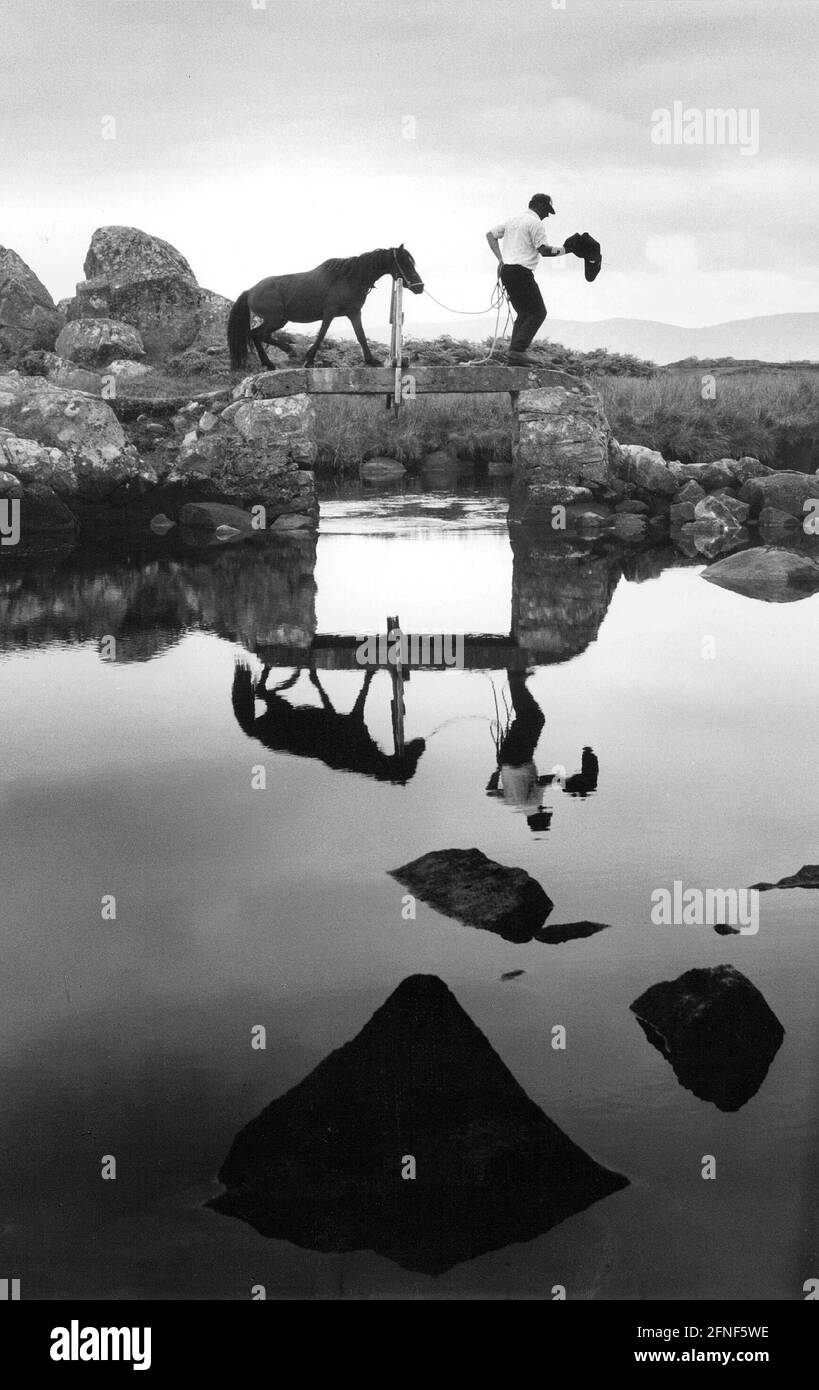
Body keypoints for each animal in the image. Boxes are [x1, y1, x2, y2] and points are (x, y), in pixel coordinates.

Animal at [226, 246, 425, 372]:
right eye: (406, 263)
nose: (420, 287)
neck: (349, 278)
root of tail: (250, 291)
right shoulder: (329, 313)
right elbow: (321, 335)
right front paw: (309, 359)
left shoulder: (354, 313)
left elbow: (361, 336)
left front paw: (371, 360)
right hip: (276, 319)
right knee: (257, 334)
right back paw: (283, 355)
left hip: (279, 320)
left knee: (259, 335)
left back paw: (275, 360)